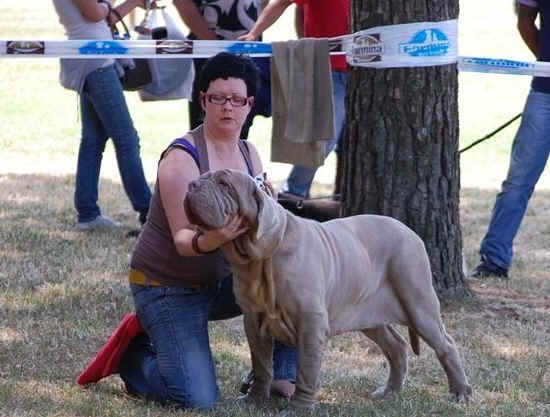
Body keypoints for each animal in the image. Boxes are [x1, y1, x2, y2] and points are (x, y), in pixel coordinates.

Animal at [184, 167, 474, 412]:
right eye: (203, 177)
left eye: (224, 184)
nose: (192, 184)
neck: (260, 258)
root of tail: (410, 231)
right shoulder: (253, 322)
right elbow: (262, 365)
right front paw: (254, 400)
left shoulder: (310, 323)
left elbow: (306, 369)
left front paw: (300, 409)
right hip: (371, 317)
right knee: (397, 347)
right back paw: (390, 391)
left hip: (419, 303)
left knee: (446, 345)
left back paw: (461, 392)